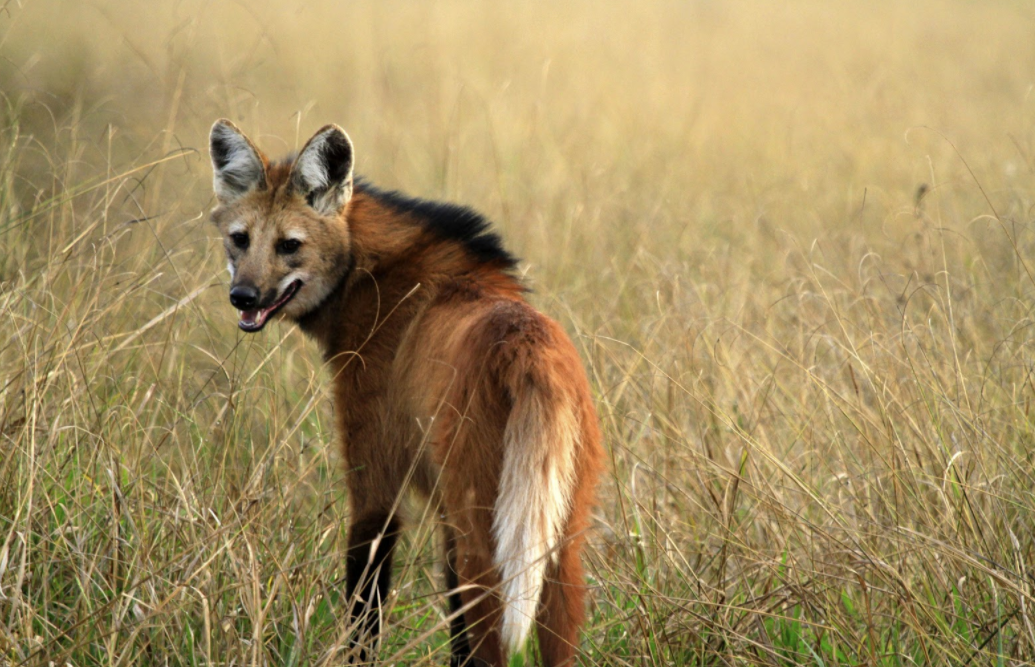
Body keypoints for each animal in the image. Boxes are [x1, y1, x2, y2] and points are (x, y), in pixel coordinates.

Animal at [205, 121, 604, 667]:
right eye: (240, 240)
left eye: (289, 245)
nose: (242, 297)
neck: (369, 275)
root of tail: (532, 350)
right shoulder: (447, 515)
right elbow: (453, 629)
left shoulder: (378, 481)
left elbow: (365, 604)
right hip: (557, 541)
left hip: (489, 534)